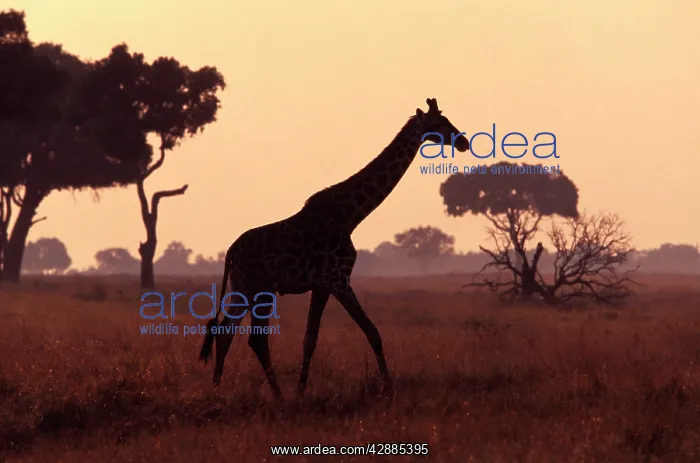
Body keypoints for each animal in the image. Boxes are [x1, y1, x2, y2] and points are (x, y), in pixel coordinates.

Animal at [199, 98, 469, 400]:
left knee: (229, 332)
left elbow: (310, 339)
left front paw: (301, 391)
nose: (463, 142)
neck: (351, 216)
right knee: (248, 337)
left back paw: (225, 390)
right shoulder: (339, 279)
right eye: (438, 124)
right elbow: (372, 332)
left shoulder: (322, 285)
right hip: (255, 288)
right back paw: (264, 394)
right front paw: (388, 388)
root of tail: (229, 254)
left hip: (249, 289)